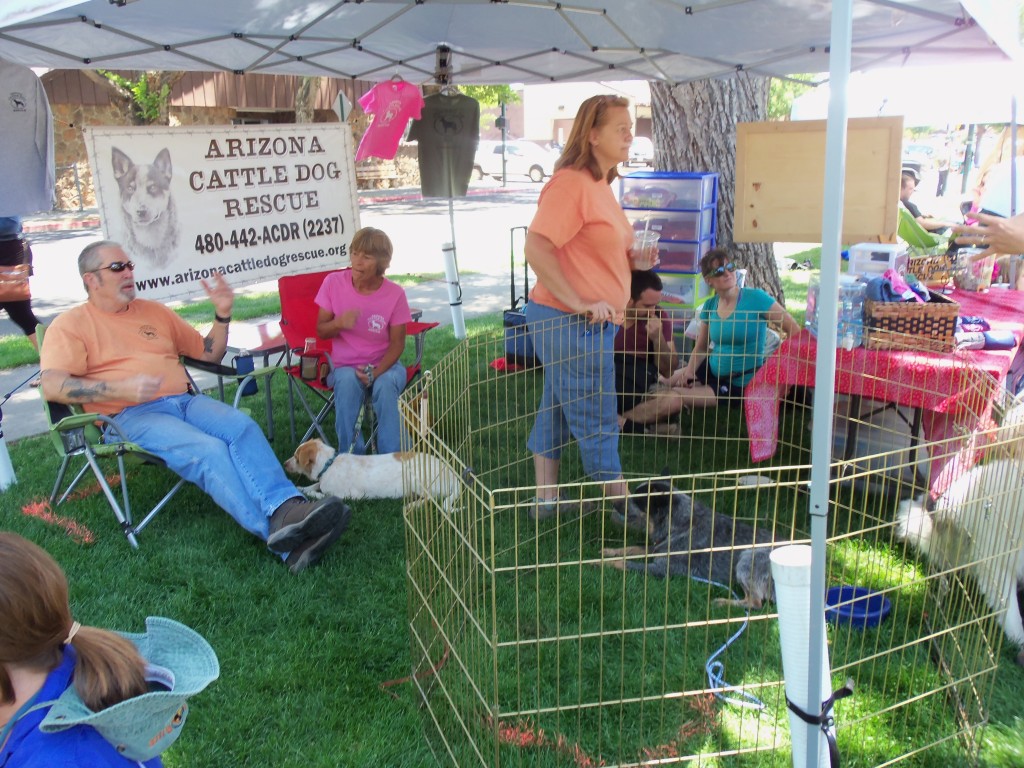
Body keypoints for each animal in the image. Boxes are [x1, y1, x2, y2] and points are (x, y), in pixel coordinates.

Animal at [284, 438, 460, 512]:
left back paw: (411, 505)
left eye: (296, 458)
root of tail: (454, 476)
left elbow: (321, 494)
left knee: (432, 499)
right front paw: (301, 487)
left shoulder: (347, 496)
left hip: (416, 478)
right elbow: (314, 485)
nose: (284, 464)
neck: (329, 464)